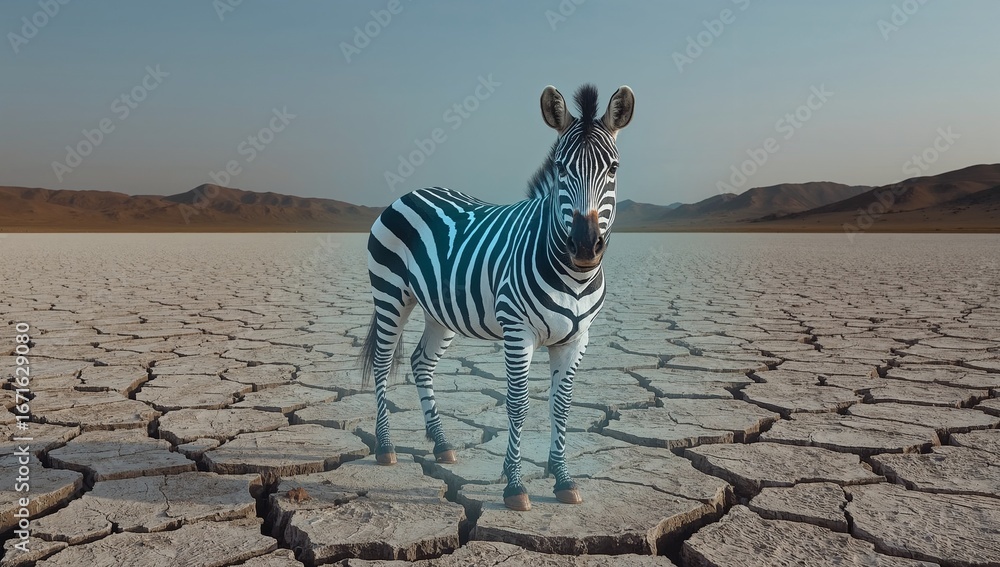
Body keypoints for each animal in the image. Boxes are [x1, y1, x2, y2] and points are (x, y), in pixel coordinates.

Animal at [361, 84, 634, 511]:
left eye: (613, 169)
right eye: (561, 168)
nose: (585, 246)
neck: (573, 275)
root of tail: (411, 192)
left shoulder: (576, 338)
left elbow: (561, 405)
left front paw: (562, 479)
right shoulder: (517, 332)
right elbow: (517, 404)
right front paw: (515, 485)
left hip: (441, 311)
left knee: (421, 362)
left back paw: (441, 444)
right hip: (390, 294)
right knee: (383, 362)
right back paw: (386, 447)